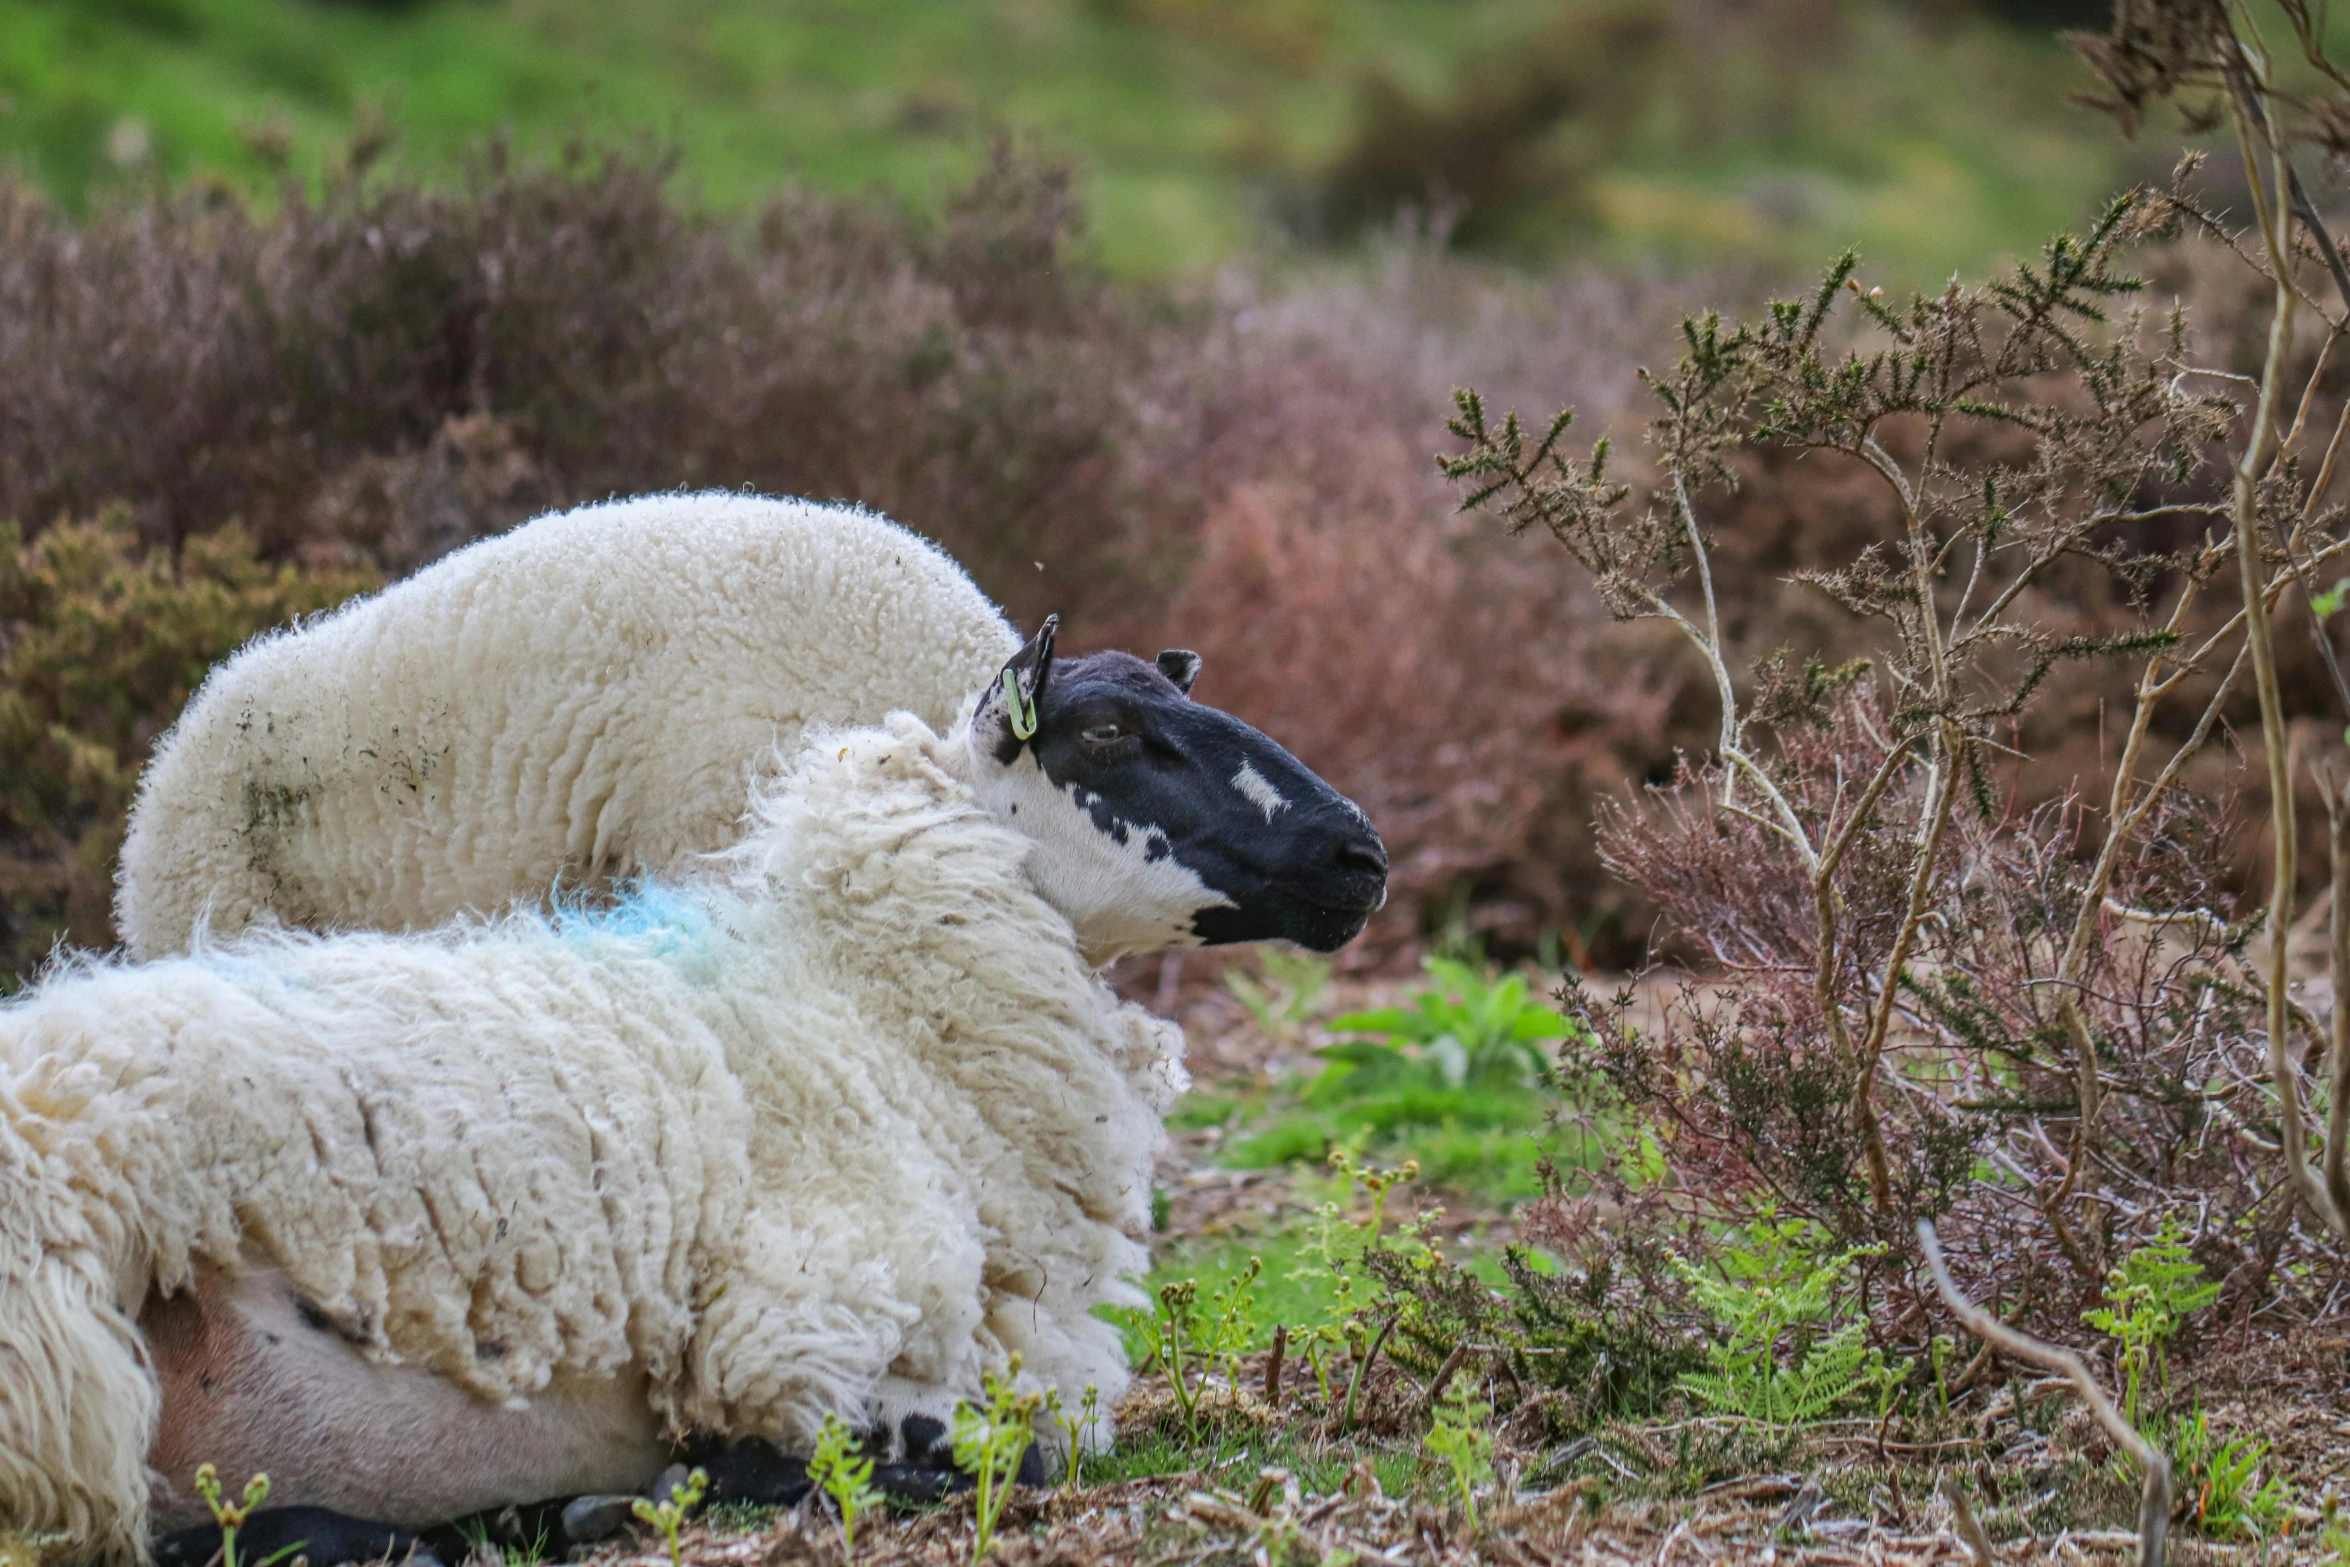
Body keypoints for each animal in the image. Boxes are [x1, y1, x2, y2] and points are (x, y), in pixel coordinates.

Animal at [4, 620, 1391, 1567]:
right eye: (1106, 735)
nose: (1360, 852)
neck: (856, 1008)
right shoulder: (798, 1335)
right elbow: (988, 1452)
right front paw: (648, 1492)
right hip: (67, 1373)